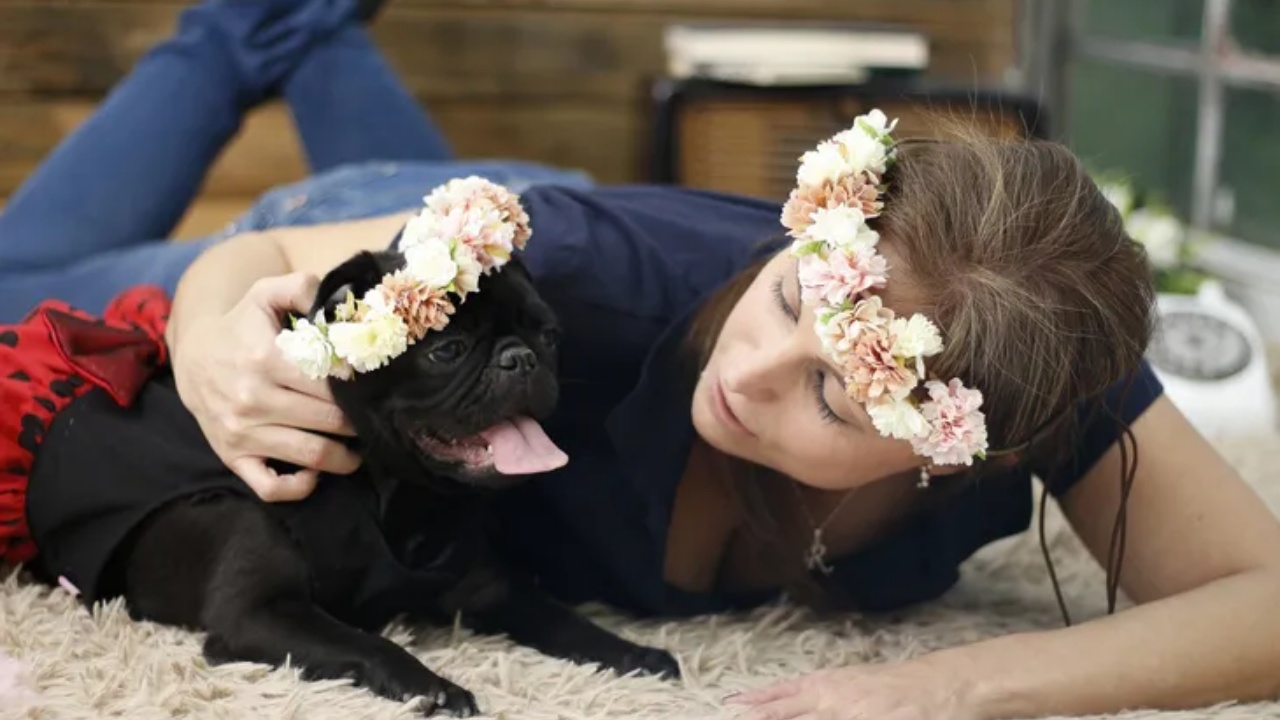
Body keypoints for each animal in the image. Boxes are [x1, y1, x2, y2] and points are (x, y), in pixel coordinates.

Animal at [22, 245, 680, 712]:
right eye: (447, 349)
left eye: (549, 336)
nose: (522, 359)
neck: (397, 494)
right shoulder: (259, 612)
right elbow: (368, 642)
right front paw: (433, 688)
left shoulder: (490, 590)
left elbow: (566, 620)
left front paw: (632, 654)